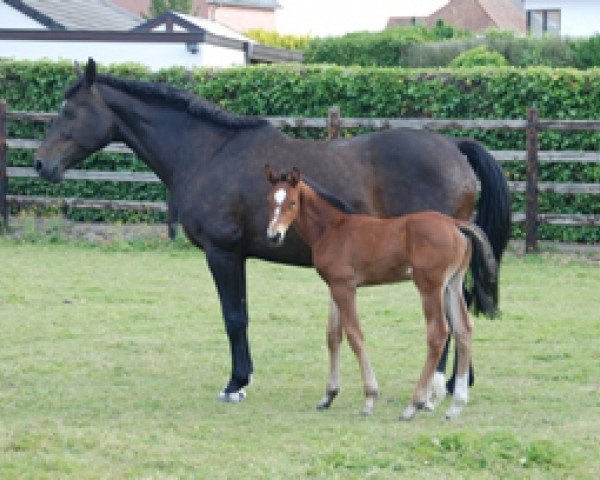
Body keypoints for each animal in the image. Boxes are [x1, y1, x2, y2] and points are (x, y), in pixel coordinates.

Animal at [264, 167, 500, 422]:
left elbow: (355, 336)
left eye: (291, 203)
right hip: (452, 284)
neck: (332, 228)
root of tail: (455, 224)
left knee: (438, 333)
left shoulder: (345, 287)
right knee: (463, 329)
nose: (273, 236)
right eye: (270, 200)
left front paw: (369, 399)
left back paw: (414, 405)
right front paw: (328, 396)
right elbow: (333, 336)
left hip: (429, 285)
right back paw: (456, 406)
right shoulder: (334, 286)